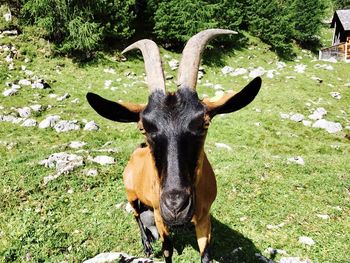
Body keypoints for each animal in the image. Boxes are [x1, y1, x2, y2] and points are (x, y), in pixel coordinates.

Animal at [86, 28, 262, 263]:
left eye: (204, 123)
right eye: (143, 127)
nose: (176, 207)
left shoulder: (204, 217)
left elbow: (205, 254)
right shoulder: (160, 216)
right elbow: (167, 249)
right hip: (131, 195)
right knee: (136, 215)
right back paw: (147, 245)